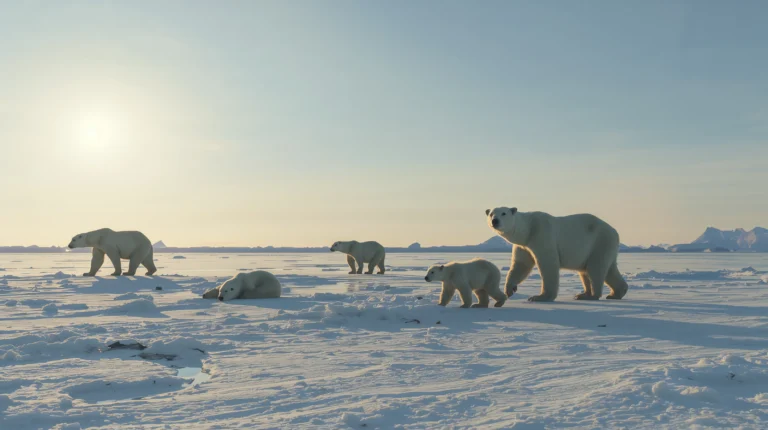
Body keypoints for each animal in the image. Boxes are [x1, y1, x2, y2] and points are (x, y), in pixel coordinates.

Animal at [486, 207, 629, 302]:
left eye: (503, 213)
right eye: (491, 213)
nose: (495, 221)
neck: (528, 228)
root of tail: (615, 232)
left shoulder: (541, 235)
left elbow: (548, 264)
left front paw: (539, 297)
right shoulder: (524, 246)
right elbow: (521, 265)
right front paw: (509, 289)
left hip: (599, 242)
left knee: (595, 267)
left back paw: (593, 295)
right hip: (601, 247)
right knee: (606, 269)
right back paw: (611, 293)